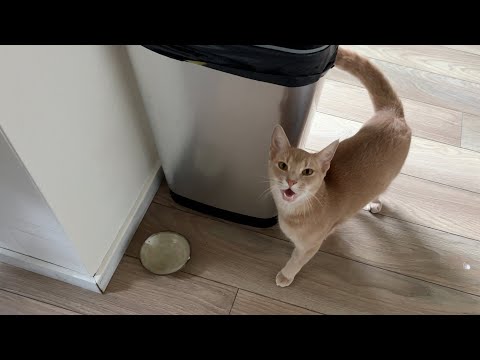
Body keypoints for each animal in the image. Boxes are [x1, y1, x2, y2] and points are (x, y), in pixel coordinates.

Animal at [268, 47, 410, 288]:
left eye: (307, 171)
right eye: (283, 165)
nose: (291, 181)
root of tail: (393, 114)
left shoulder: (311, 246)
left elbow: (298, 259)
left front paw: (286, 275)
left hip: (389, 177)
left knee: (382, 189)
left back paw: (376, 202)